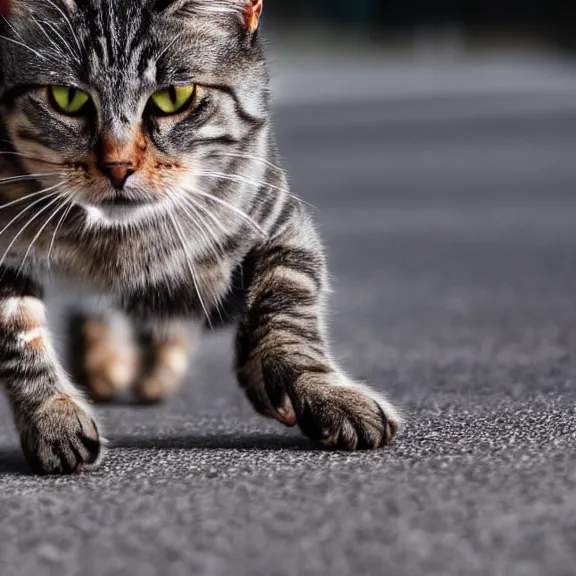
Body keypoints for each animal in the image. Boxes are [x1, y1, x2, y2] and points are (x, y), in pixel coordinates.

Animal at [0, 0, 400, 474]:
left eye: (174, 98)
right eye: (67, 98)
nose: (118, 167)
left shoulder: (280, 222)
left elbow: (287, 312)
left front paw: (320, 393)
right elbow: (20, 337)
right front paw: (53, 417)